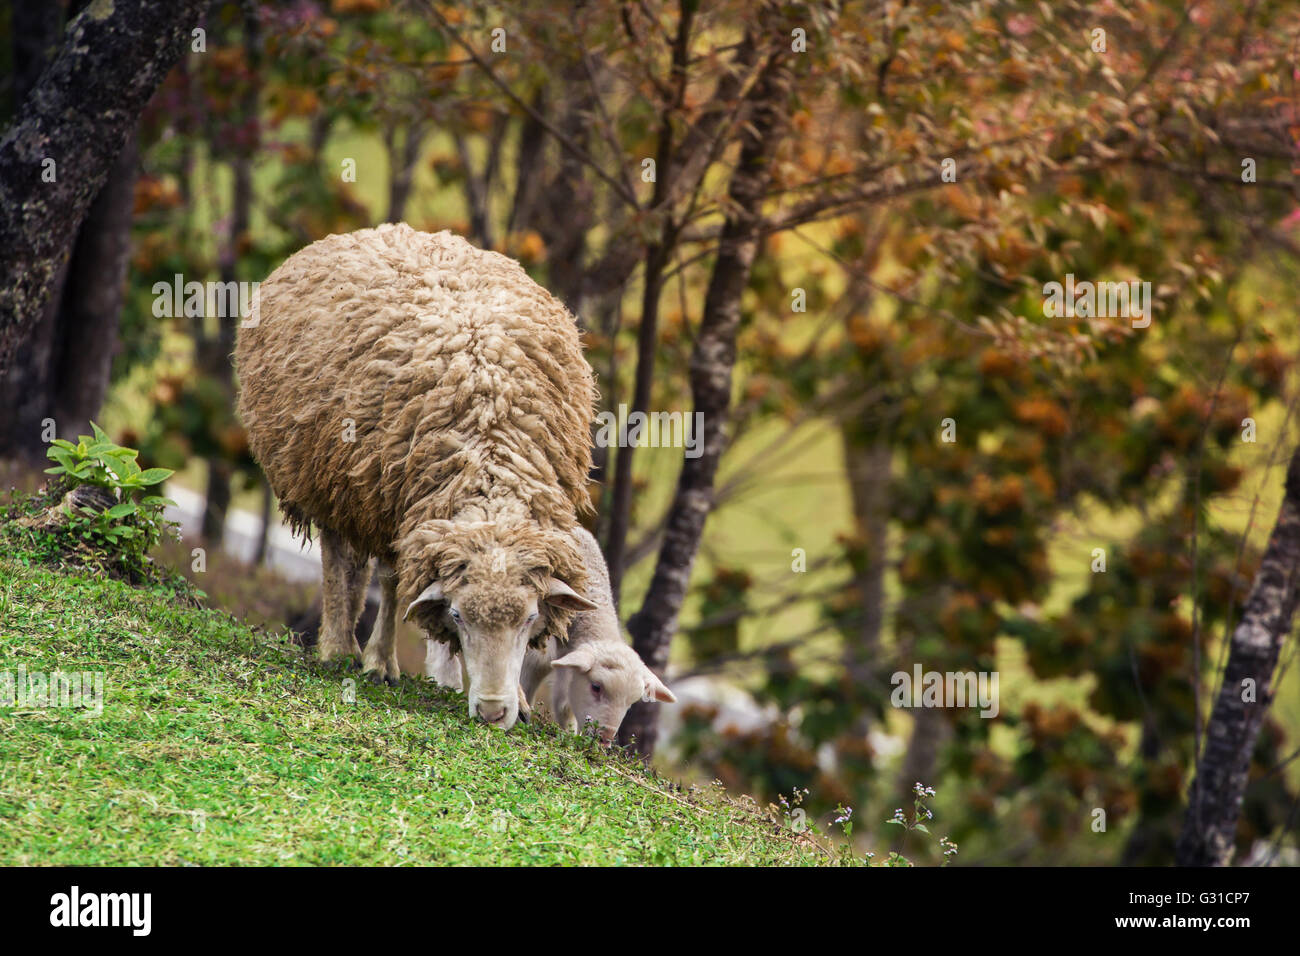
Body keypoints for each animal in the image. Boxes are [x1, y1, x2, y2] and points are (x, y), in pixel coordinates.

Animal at [236, 224, 597, 730]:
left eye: (528, 619)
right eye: (458, 616)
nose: (492, 712)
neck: (488, 443)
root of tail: (380, 230)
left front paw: (524, 703)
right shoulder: (396, 502)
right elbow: (391, 584)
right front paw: (380, 664)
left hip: (356, 488)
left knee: (355, 565)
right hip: (327, 474)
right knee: (337, 558)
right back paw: (338, 647)